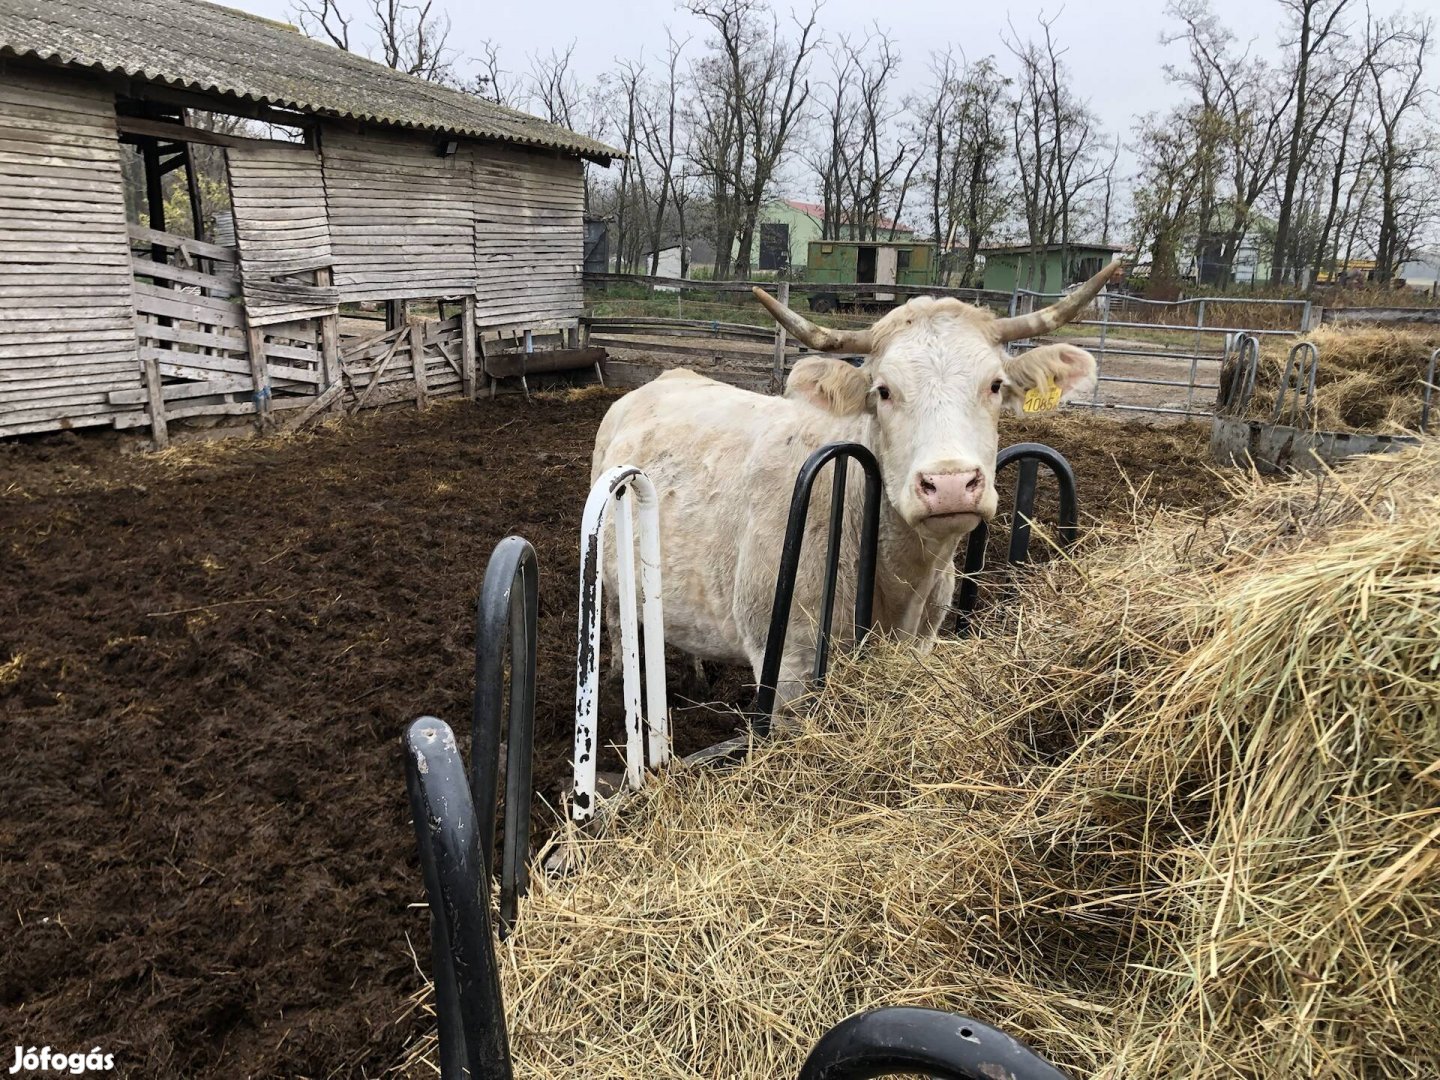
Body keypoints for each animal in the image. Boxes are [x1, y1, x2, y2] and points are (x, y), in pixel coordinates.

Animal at [590, 259, 1117, 705]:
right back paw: (616, 675)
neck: (899, 577)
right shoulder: (787, 666)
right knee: (615, 615)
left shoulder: (923, 638)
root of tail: (664, 377)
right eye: (883, 391)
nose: (949, 484)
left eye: (995, 385)